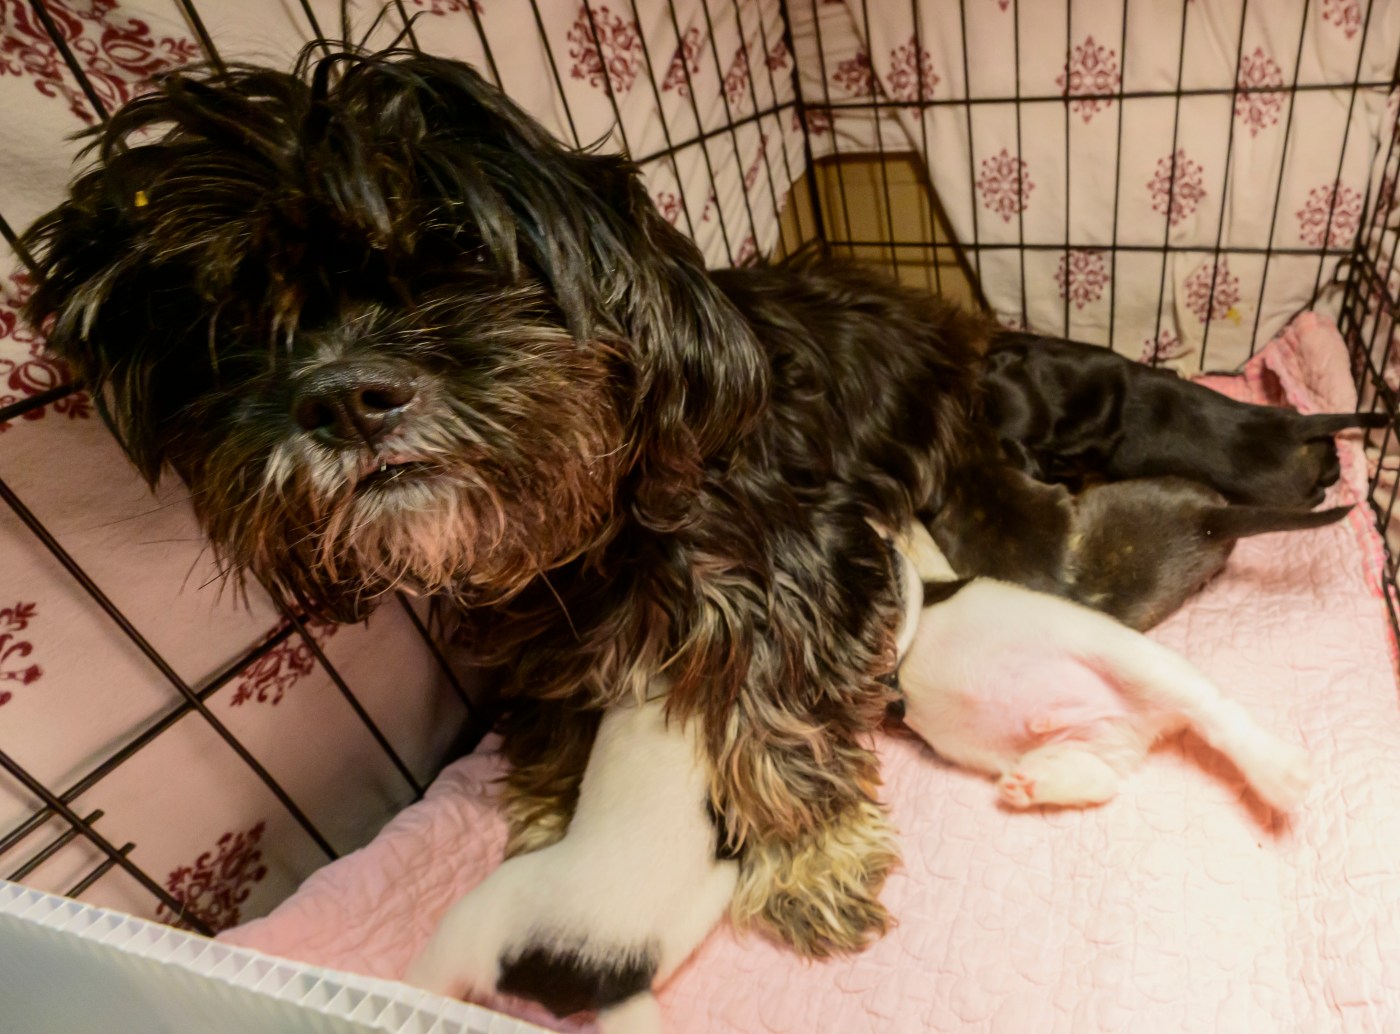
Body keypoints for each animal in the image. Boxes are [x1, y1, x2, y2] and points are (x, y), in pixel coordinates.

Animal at [892, 527, 1312, 811]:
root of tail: (1140, 722)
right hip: (1096, 744)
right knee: (1101, 780)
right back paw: (1035, 782)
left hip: (1136, 663)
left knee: (1218, 714)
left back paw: (1279, 770)